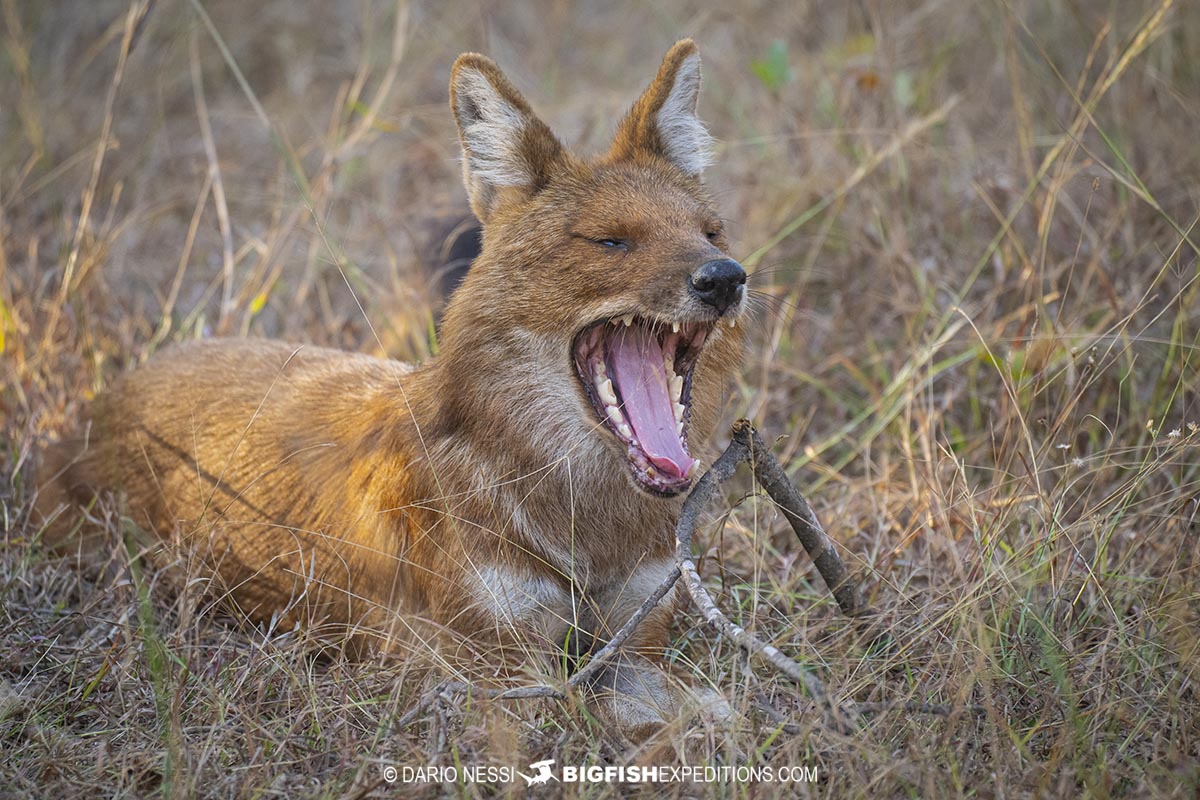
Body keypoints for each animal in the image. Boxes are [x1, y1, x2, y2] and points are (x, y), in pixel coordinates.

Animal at [37, 38, 744, 738]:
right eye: (611, 241)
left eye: (709, 232)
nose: (725, 277)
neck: (586, 519)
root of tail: (98, 405)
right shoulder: (492, 667)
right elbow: (580, 719)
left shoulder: (635, 638)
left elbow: (711, 712)